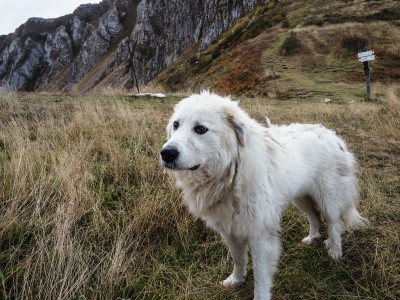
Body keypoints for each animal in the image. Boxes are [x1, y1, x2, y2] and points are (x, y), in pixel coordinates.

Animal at [159, 92, 366, 298]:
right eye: (176, 125)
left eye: (200, 129)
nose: (166, 153)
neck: (231, 171)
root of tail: (332, 135)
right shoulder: (229, 230)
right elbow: (239, 259)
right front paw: (236, 280)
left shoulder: (260, 235)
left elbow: (260, 275)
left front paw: (259, 295)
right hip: (301, 197)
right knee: (314, 216)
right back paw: (312, 238)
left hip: (328, 199)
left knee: (333, 224)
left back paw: (335, 251)